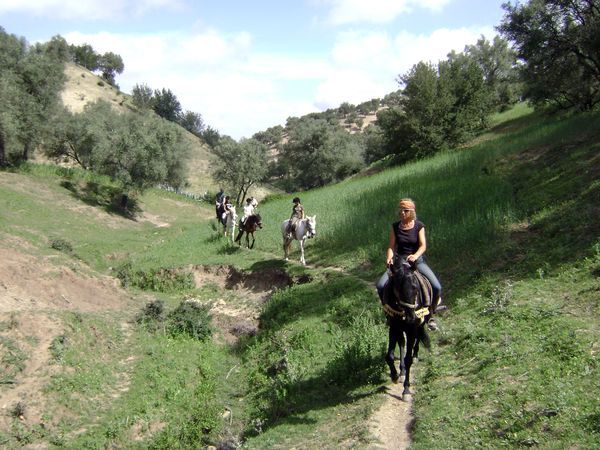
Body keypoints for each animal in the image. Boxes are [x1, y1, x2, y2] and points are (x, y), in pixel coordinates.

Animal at [382, 258, 431, 400]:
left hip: (420, 323)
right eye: (398, 289)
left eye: (415, 287)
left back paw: (415, 356)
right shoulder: (394, 327)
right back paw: (402, 371)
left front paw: (406, 390)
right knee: (401, 343)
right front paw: (394, 375)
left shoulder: (411, 329)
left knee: (418, 338)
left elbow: (408, 358)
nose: (410, 317)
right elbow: (390, 355)